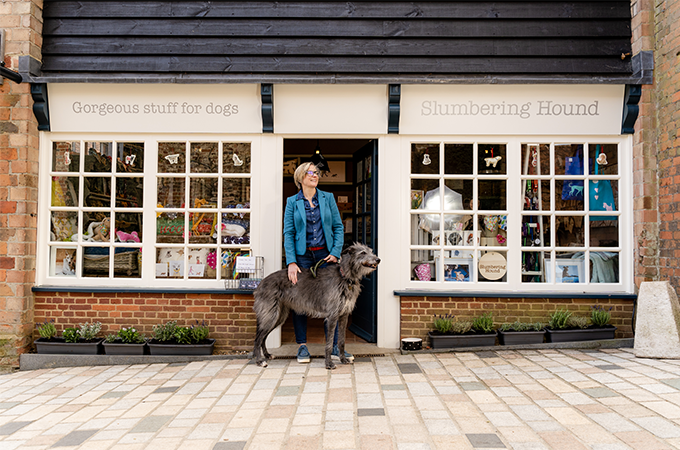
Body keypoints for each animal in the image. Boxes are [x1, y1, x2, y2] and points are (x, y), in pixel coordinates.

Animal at [252, 243, 380, 370]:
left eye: (371, 251)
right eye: (363, 252)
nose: (378, 259)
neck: (345, 277)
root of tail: (260, 284)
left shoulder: (344, 315)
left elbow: (341, 341)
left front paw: (343, 359)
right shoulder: (332, 316)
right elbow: (329, 343)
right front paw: (328, 364)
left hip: (279, 316)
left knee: (263, 337)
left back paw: (267, 355)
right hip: (270, 315)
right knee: (258, 338)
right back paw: (259, 361)